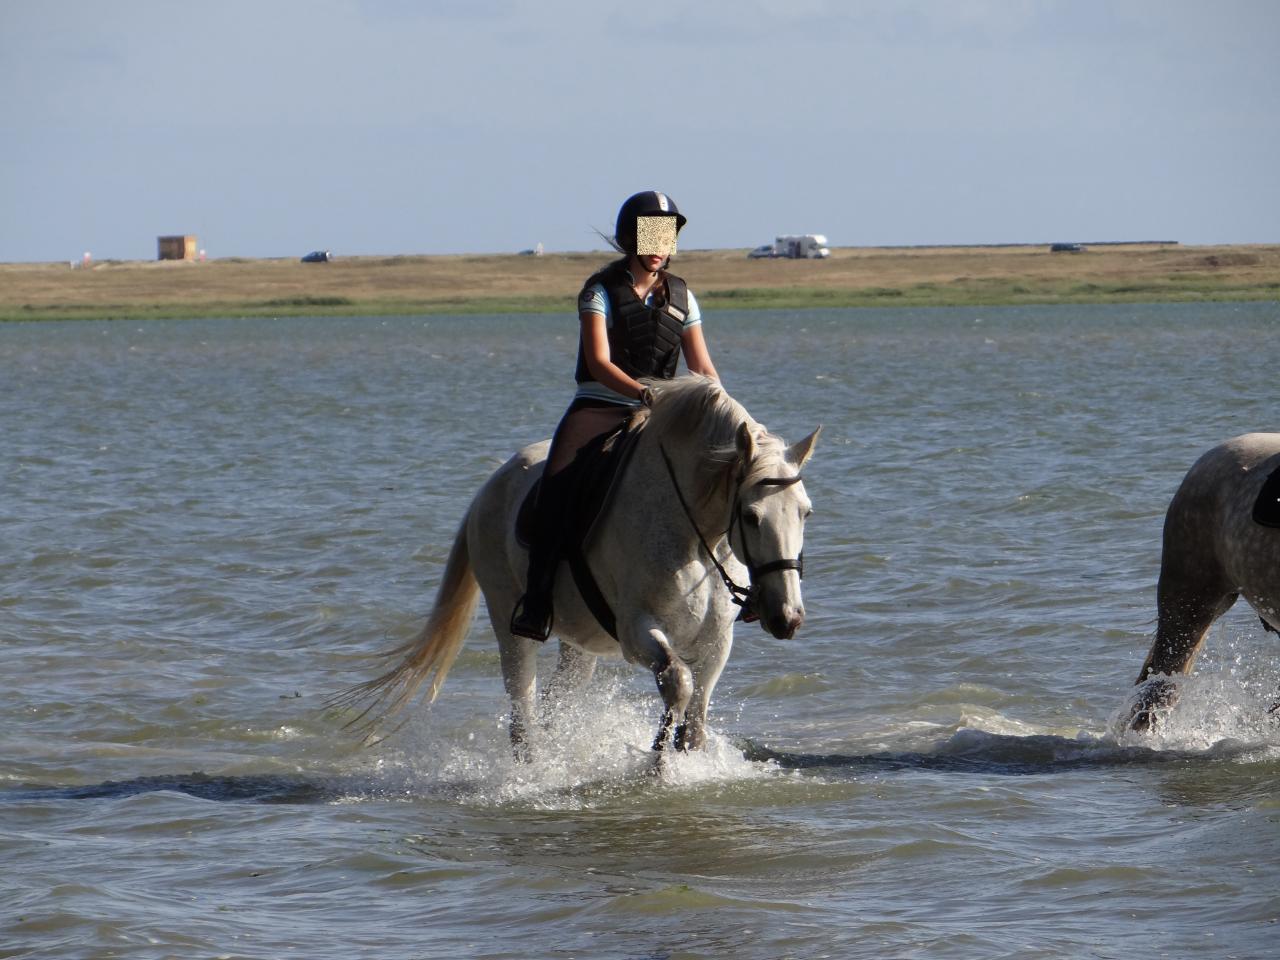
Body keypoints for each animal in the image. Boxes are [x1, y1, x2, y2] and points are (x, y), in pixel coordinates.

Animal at [335, 376, 819, 757]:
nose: (788, 618)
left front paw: (686, 760)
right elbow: (678, 683)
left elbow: (697, 714)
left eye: (805, 512)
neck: (695, 535)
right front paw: (656, 764)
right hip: (509, 623)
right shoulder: (638, 632)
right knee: (522, 706)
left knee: (556, 700)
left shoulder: (717, 642)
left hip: (581, 644)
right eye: (751, 516)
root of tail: (488, 488)